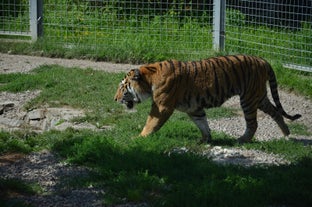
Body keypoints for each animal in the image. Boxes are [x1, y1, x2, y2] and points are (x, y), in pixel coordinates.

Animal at [113, 54, 302, 143]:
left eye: (122, 87)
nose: (114, 99)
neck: (150, 78)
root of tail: (262, 60)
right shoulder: (194, 108)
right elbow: (202, 123)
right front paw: (206, 139)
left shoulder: (162, 107)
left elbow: (151, 123)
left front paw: (139, 138)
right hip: (258, 96)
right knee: (276, 112)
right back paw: (286, 134)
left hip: (248, 99)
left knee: (253, 123)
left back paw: (241, 140)